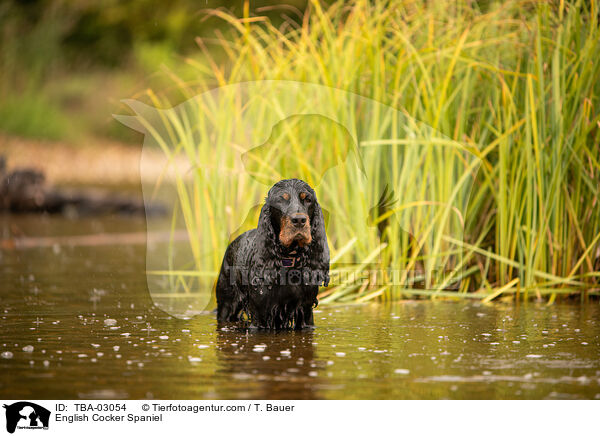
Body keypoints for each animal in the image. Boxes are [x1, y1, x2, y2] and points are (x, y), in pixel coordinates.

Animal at [217, 179, 330, 328]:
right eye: (281, 200)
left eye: (308, 199)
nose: (299, 220)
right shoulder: (260, 313)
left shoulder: (305, 311)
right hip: (226, 302)